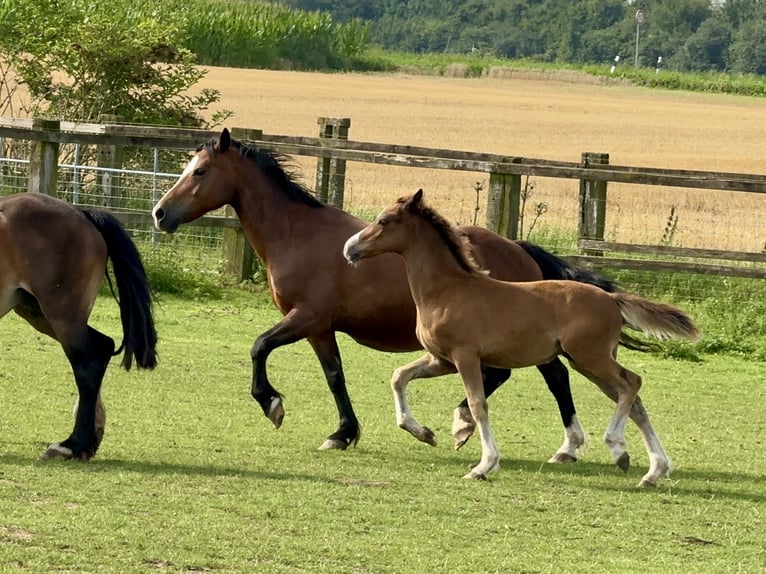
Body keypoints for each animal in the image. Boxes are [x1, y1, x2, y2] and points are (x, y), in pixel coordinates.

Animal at [0, 191, 158, 462]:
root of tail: (80, 213)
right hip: (40, 312)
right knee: (103, 346)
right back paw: (91, 438)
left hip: (63, 316)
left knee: (88, 364)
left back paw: (73, 445)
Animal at [153, 129, 620, 460]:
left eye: (199, 171)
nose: (159, 213)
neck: (296, 234)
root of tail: (520, 249)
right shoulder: (320, 329)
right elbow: (335, 375)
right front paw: (343, 433)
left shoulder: (305, 317)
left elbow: (258, 347)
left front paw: (272, 404)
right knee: (513, 376)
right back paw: (469, 424)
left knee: (554, 377)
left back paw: (555, 444)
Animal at [344, 191, 704, 488]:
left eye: (384, 221)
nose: (350, 248)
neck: (447, 290)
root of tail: (612, 300)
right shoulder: (440, 359)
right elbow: (399, 377)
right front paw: (424, 433)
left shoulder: (465, 356)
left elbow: (478, 404)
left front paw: (484, 465)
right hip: (590, 363)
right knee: (634, 401)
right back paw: (653, 471)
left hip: (591, 358)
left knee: (632, 383)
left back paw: (617, 447)